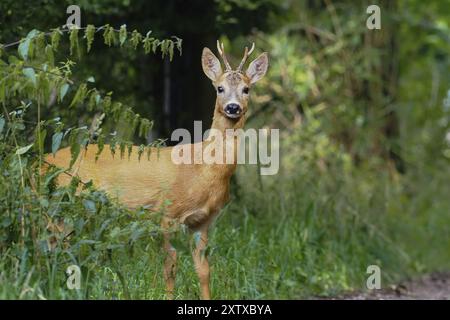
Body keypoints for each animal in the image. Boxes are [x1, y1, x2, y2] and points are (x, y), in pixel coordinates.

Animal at [46, 41, 268, 298]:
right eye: (219, 88)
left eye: (246, 89)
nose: (233, 107)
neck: (201, 169)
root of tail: (39, 161)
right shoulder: (166, 212)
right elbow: (170, 265)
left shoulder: (203, 221)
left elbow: (203, 269)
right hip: (63, 202)